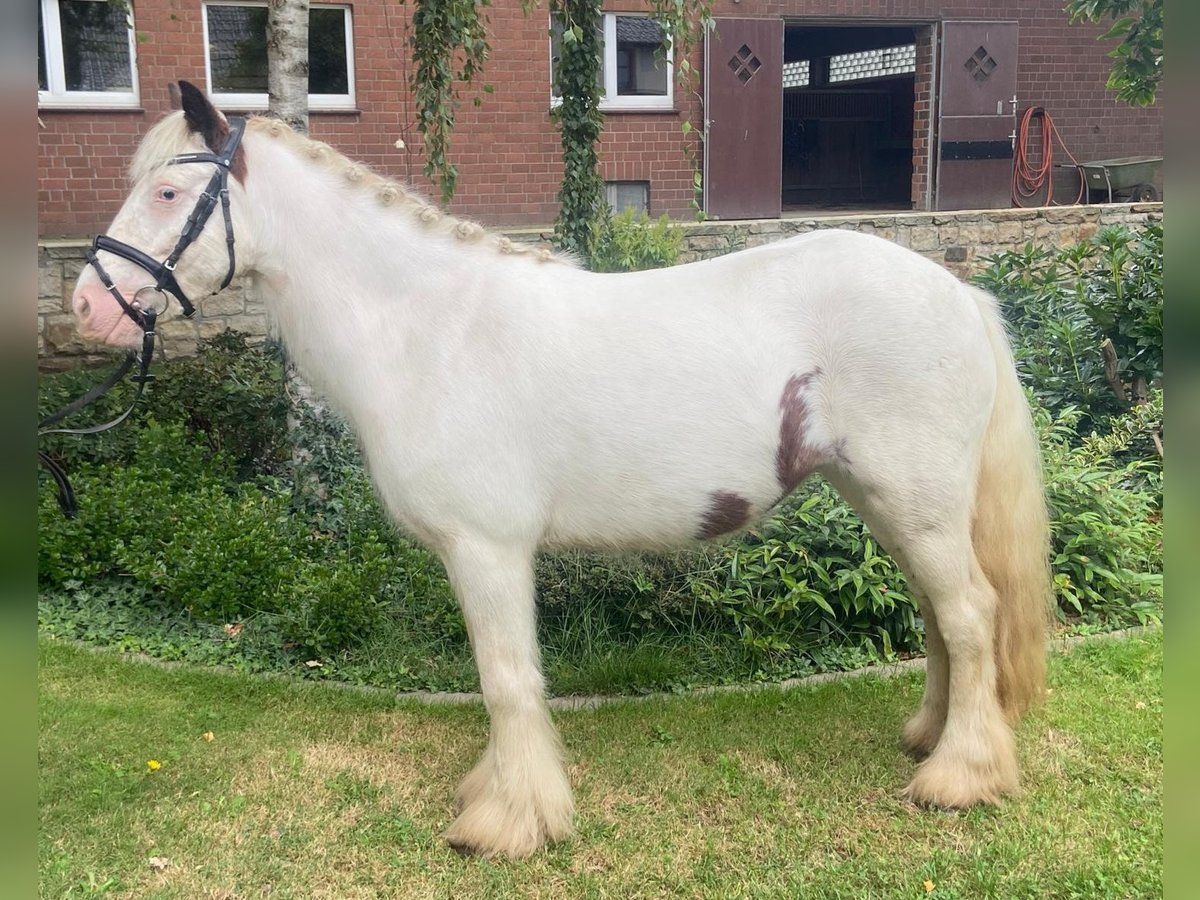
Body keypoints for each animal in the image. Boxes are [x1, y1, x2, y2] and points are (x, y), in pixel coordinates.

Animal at [72, 82, 1051, 859]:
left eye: (168, 190)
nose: (89, 306)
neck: (429, 328)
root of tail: (958, 293)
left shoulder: (487, 550)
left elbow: (508, 681)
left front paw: (507, 823)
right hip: (893, 502)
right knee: (942, 618)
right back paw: (930, 739)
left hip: (914, 500)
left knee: (971, 615)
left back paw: (960, 776)